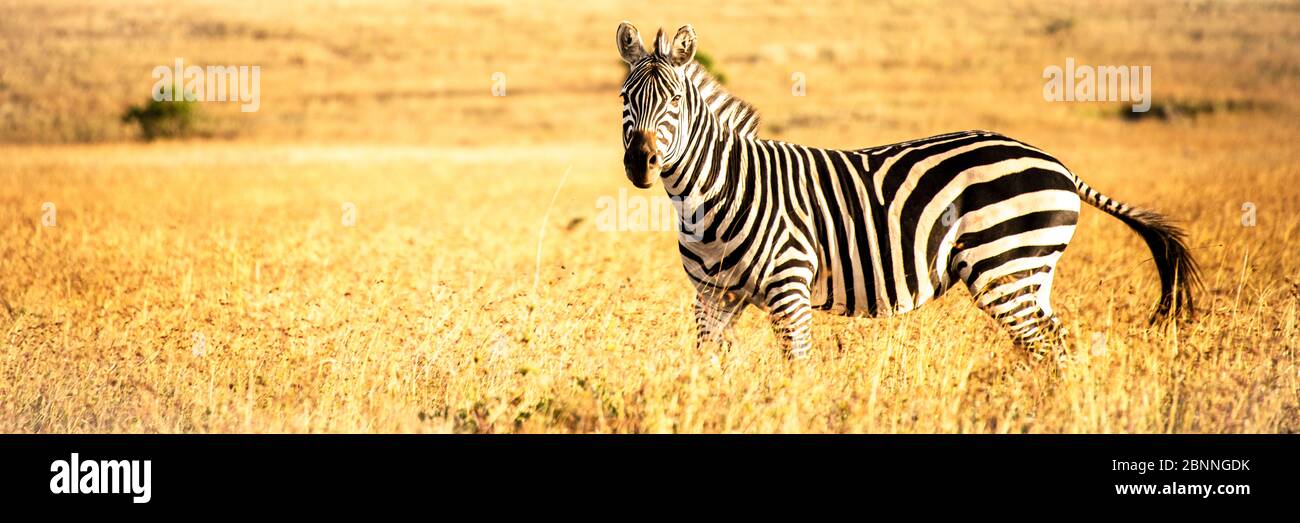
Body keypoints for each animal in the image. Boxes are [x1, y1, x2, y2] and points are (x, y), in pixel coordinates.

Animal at [615, 23, 1200, 360]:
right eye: (625, 98)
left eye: (673, 99)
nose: (640, 163)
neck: (714, 193)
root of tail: (1057, 164)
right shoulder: (713, 296)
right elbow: (707, 370)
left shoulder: (790, 288)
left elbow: (796, 371)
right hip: (1031, 274)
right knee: (1055, 345)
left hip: (1005, 266)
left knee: (1046, 348)